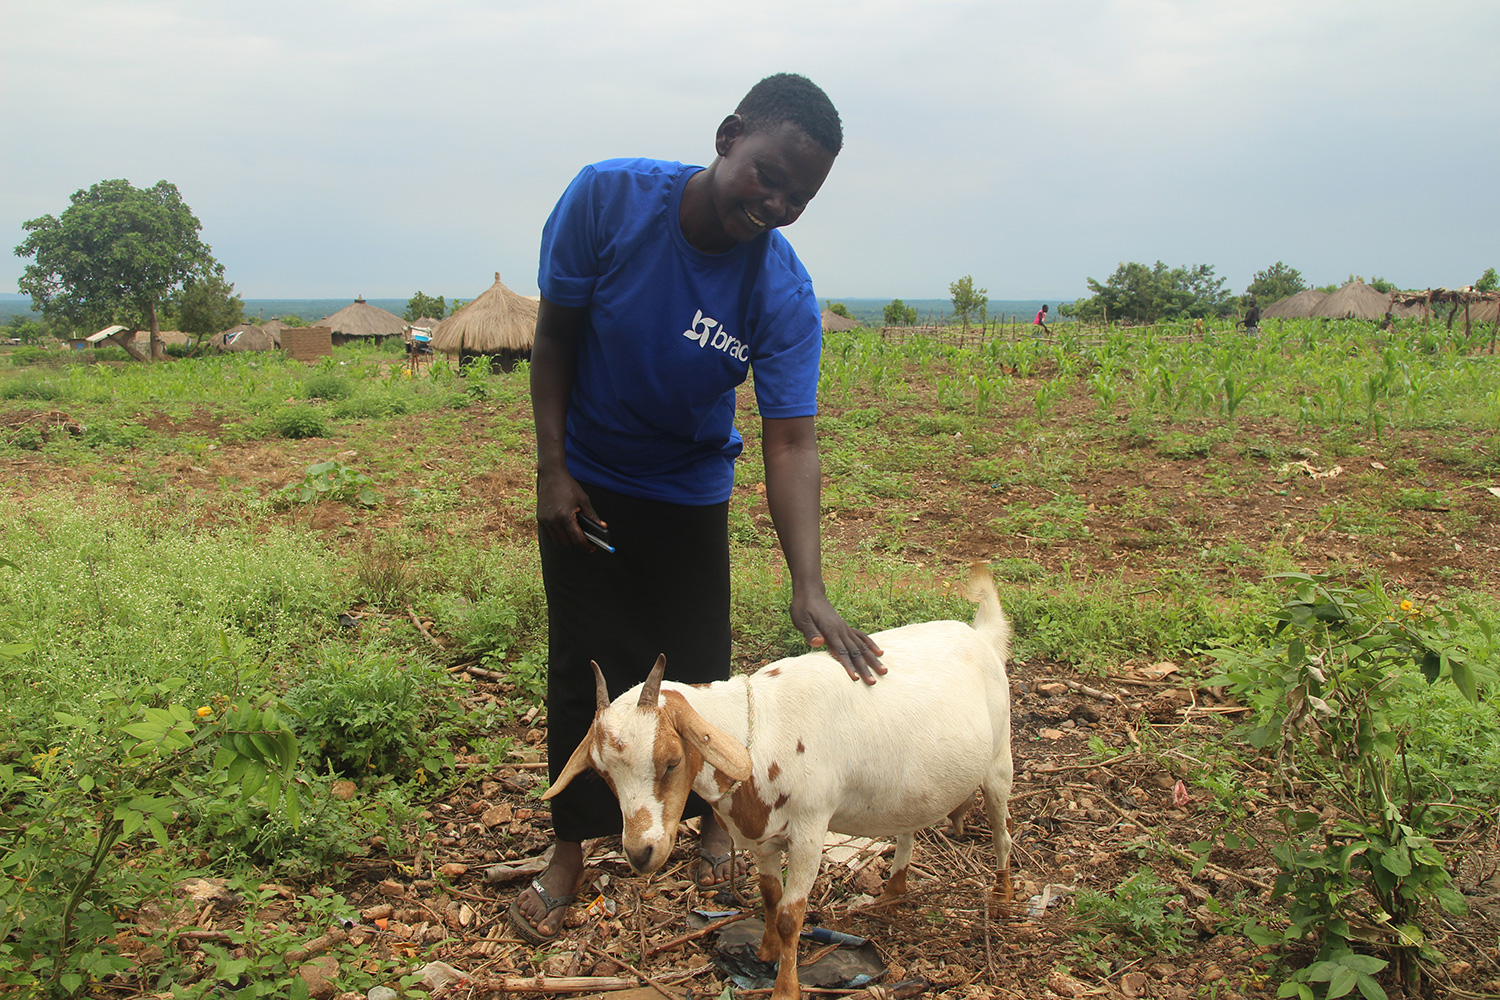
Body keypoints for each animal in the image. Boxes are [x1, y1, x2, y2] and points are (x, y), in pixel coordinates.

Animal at [546, 563, 1014, 1000]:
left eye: (672, 760)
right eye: (602, 773)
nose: (640, 853)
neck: (757, 732)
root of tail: (978, 635)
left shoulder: (810, 830)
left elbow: (791, 914)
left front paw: (785, 987)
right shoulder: (761, 834)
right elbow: (769, 894)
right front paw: (766, 951)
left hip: (999, 761)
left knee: (1002, 831)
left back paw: (1003, 898)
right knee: (907, 829)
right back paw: (894, 892)